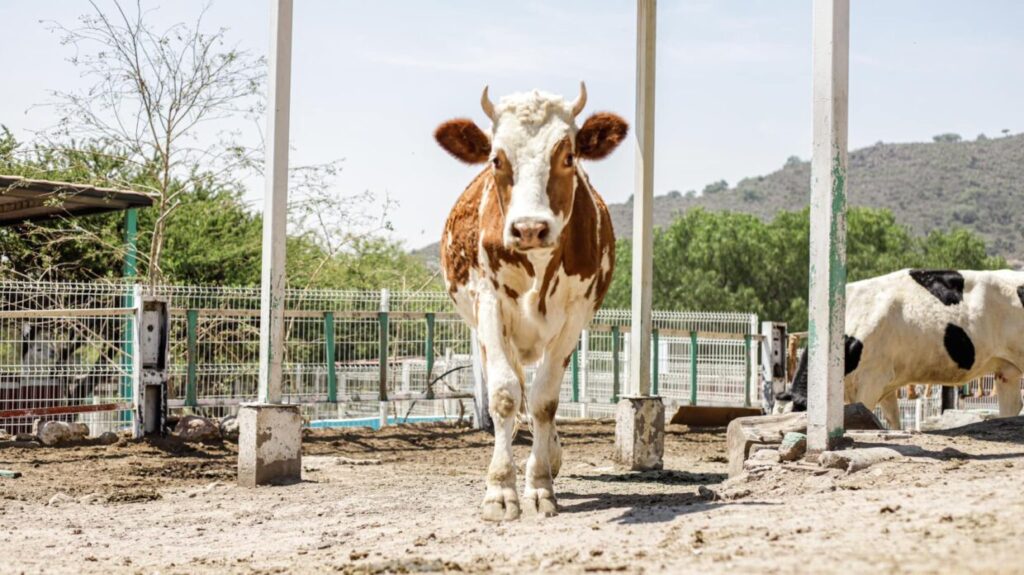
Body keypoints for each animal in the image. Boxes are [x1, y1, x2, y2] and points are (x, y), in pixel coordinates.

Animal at [434, 83, 622, 519]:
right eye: (496, 158)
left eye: (568, 156)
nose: (530, 228)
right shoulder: (489, 304)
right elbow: (505, 395)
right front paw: (501, 489)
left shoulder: (575, 315)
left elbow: (545, 400)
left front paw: (539, 484)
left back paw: (550, 454)